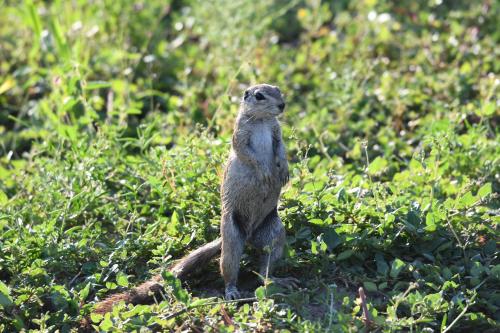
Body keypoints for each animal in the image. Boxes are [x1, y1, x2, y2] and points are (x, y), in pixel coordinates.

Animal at [87, 81, 292, 318]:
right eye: (259, 96)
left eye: (278, 90)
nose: (282, 105)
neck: (262, 120)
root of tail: (248, 237)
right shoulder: (240, 135)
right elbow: (248, 154)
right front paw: (266, 172)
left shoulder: (276, 132)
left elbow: (281, 148)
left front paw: (284, 171)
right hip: (232, 239)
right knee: (229, 270)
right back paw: (232, 292)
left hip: (274, 233)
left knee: (264, 271)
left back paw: (278, 280)